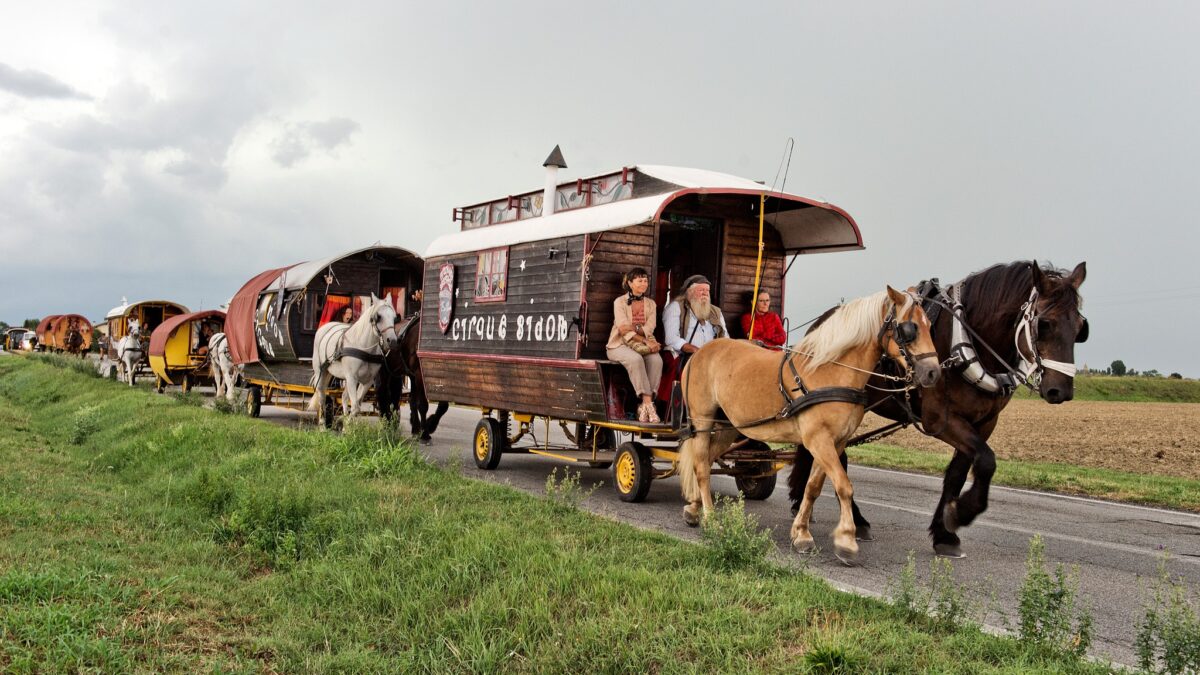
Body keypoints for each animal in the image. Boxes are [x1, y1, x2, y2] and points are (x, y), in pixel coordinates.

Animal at [309, 291, 398, 422]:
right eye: (378, 317)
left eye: (394, 317)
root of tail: (325, 327)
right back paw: (322, 423)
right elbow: (355, 406)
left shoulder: (367, 381)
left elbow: (358, 405)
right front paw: (349, 425)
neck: (364, 348)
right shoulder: (352, 378)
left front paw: (349, 425)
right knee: (322, 395)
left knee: (344, 397)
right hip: (320, 372)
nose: (392, 341)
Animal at [681, 283, 940, 562]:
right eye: (910, 329)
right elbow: (844, 486)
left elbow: (814, 486)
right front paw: (846, 540)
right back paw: (709, 517)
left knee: (704, 461)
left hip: (728, 426)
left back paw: (693, 507)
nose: (933, 372)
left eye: (929, 324)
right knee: (701, 467)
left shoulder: (835, 442)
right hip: (702, 421)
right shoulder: (819, 440)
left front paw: (801, 533)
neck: (831, 372)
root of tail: (700, 352)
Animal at [787, 260, 1089, 554]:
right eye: (1044, 324)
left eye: (1080, 328)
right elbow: (986, 460)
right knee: (838, 457)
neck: (966, 342)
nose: (1061, 390)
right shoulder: (940, 420)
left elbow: (962, 471)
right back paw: (853, 519)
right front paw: (962, 513)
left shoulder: (984, 422)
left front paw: (946, 531)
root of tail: (817, 327)